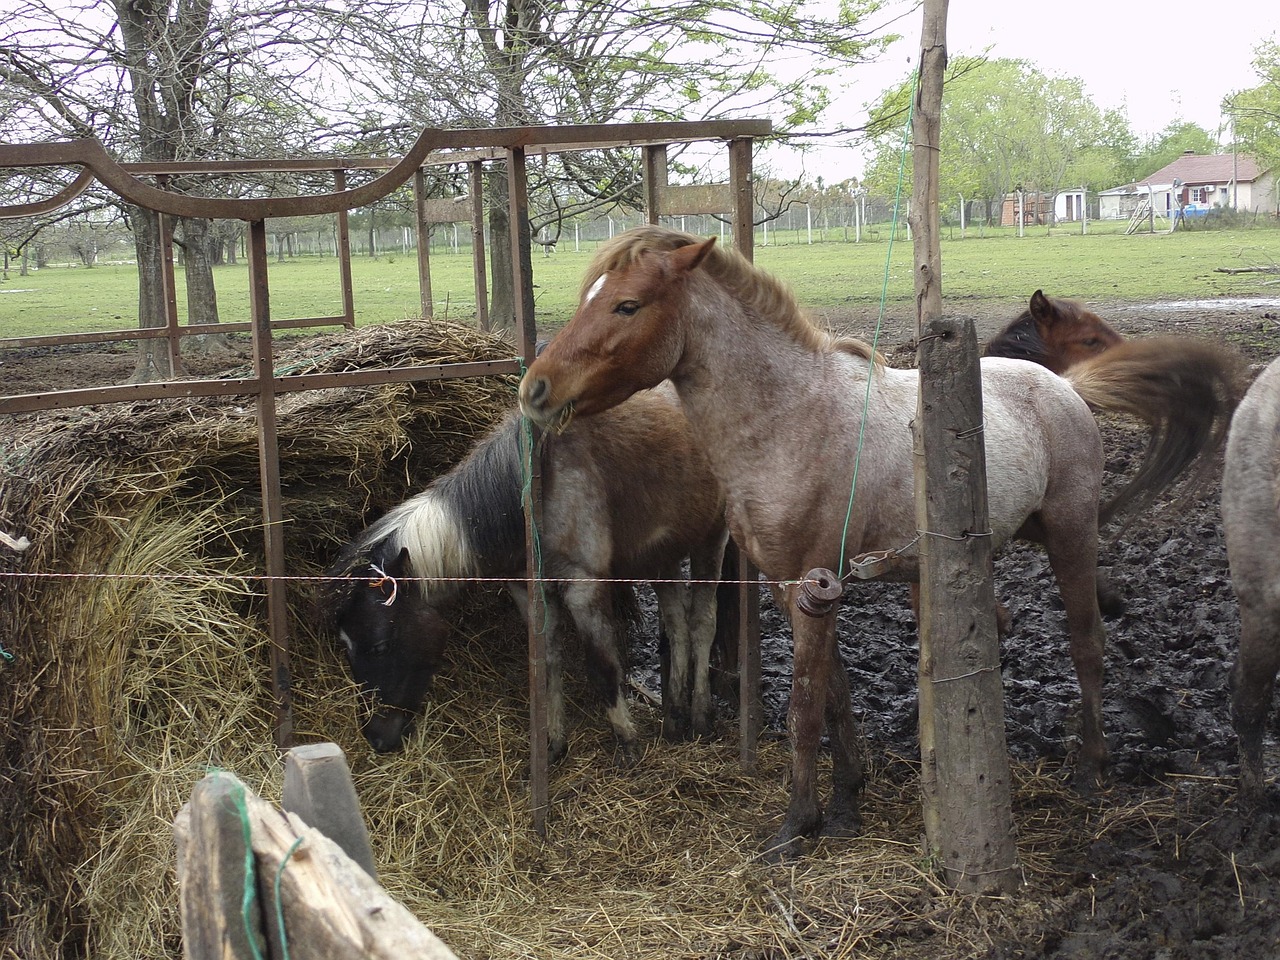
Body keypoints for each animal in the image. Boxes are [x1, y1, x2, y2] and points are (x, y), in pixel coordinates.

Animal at [328, 382, 729, 763]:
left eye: (381, 645)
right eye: (346, 646)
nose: (377, 737)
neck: (535, 492)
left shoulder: (584, 588)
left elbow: (603, 668)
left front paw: (627, 742)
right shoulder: (530, 594)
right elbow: (547, 666)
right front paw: (554, 744)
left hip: (711, 540)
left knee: (702, 622)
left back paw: (700, 717)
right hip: (662, 556)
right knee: (676, 625)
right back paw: (674, 718)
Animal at [518, 225, 1236, 860]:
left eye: (627, 304)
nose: (535, 389)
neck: (790, 422)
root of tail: (1065, 387)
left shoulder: (808, 587)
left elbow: (805, 708)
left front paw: (797, 825)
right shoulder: (797, 588)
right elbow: (835, 694)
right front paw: (845, 802)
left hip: (1070, 535)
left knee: (1088, 644)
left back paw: (1092, 766)